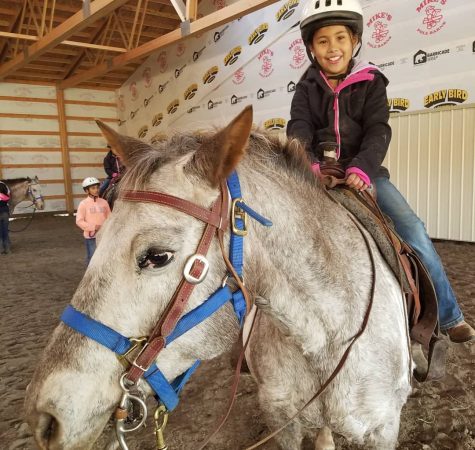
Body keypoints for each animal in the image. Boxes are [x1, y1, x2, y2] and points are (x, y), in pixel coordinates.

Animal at [25, 108, 412, 450]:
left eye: (157, 256)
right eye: (98, 237)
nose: (45, 417)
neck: (324, 340)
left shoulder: (383, 430)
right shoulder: (282, 422)